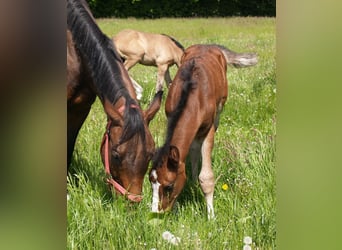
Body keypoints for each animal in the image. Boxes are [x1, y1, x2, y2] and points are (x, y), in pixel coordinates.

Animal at [148, 44, 258, 218]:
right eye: (150, 182)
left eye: (169, 186)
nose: (156, 213)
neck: (192, 95)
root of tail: (209, 45)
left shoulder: (208, 129)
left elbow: (206, 177)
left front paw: (211, 216)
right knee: (193, 147)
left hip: (220, 109)